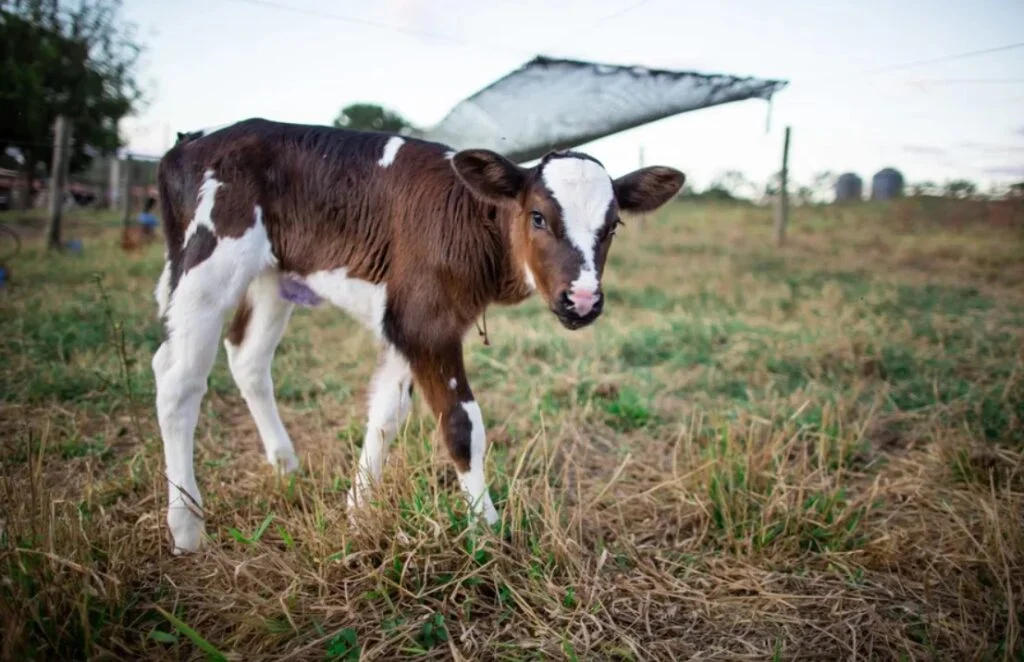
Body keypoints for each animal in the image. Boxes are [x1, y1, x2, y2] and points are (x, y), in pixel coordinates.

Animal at [155, 117, 684, 553]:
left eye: (612, 226)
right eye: (538, 216)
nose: (583, 299)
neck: (469, 219)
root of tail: (192, 140)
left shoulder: (405, 320)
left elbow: (386, 414)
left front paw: (358, 512)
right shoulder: (427, 323)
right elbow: (462, 424)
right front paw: (487, 534)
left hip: (272, 277)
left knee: (247, 358)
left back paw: (284, 464)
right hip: (209, 262)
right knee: (178, 379)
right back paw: (186, 527)